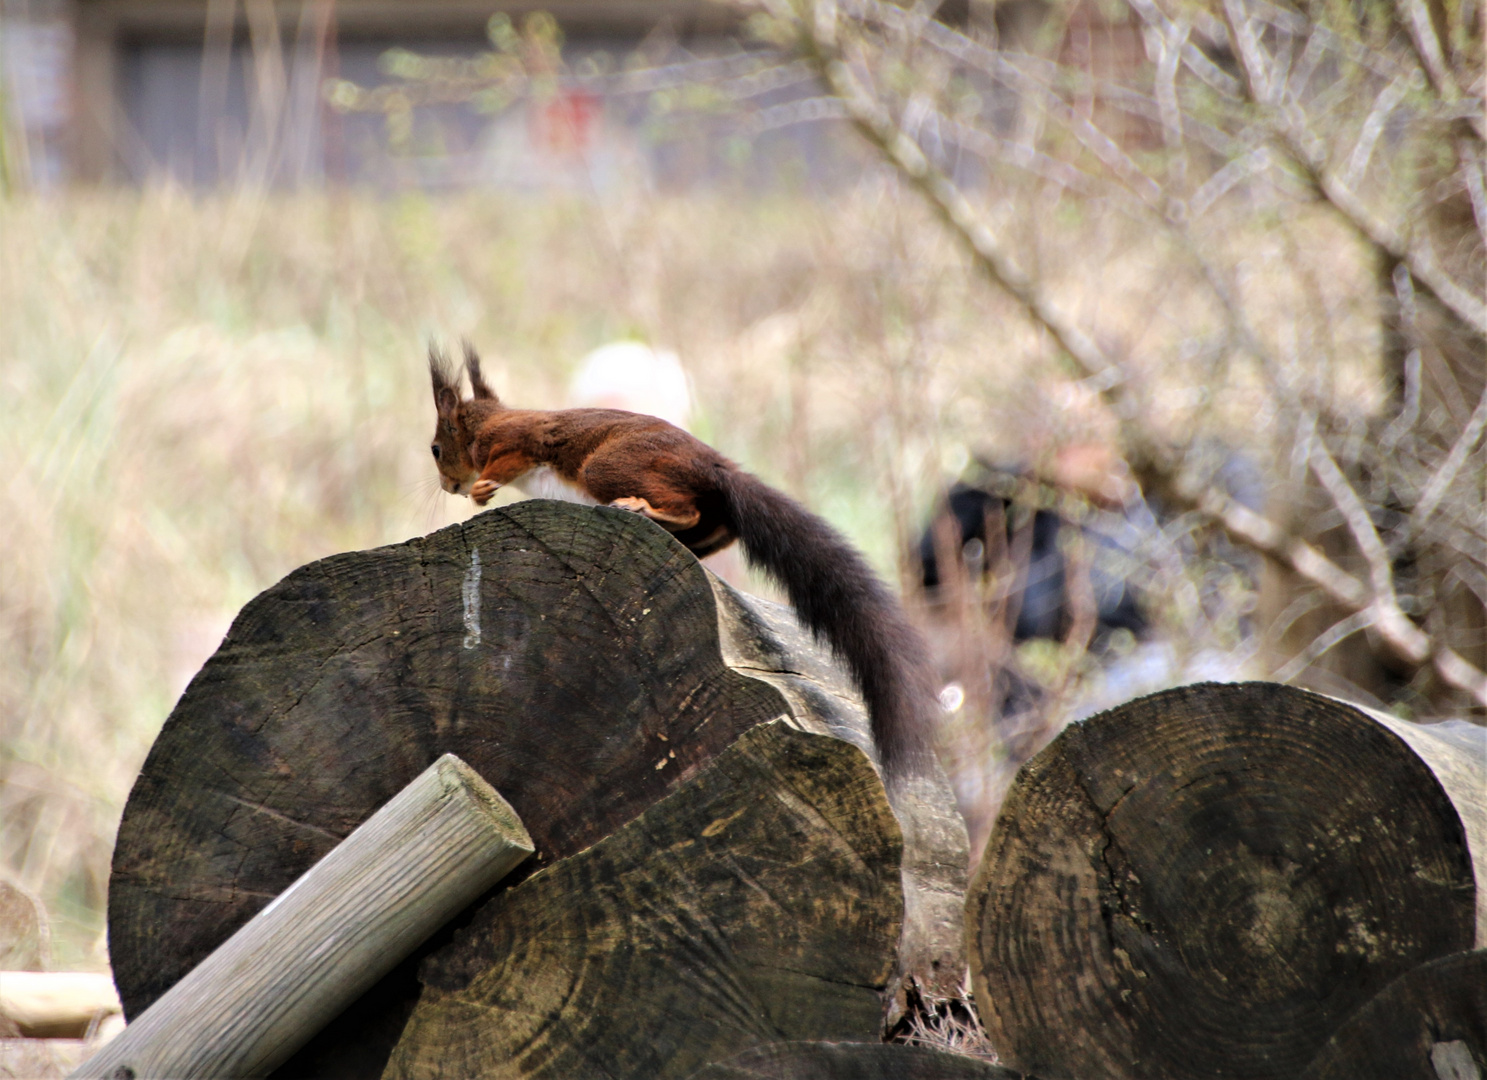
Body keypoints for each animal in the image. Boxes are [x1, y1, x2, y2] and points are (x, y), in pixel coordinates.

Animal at [431, 345, 933, 779]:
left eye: (436, 448)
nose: (447, 487)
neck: (488, 422)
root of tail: (713, 467)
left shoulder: (517, 439)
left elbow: (510, 457)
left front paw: (482, 489)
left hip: (609, 466)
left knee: (683, 509)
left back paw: (641, 507)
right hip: (706, 517)